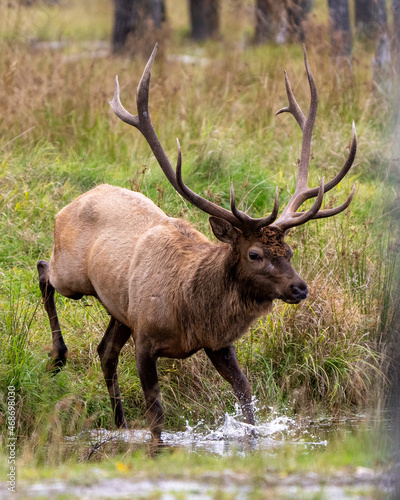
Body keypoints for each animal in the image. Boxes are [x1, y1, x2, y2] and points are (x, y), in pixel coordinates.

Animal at [36, 45, 356, 444]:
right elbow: (157, 414)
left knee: (105, 351)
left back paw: (120, 424)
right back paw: (58, 357)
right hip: (73, 276)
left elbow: (246, 396)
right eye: (254, 254)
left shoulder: (217, 343)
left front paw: (252, 436)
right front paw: (157, 444)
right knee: (44, 271)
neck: (190, 308)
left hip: (120, 308)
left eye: (290, 251)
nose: (300, 288)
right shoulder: (146, 337)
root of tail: (76, 200)